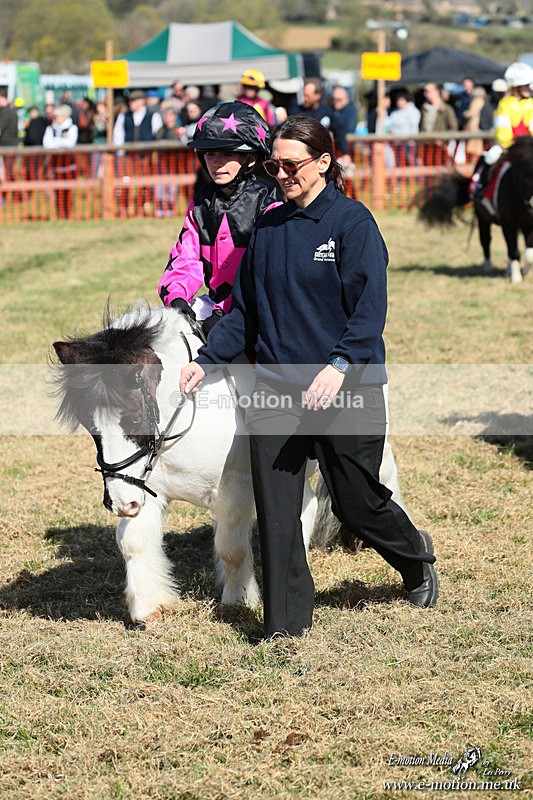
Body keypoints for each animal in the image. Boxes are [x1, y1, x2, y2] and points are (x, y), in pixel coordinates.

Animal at [51, 303, 406, 626]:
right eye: (90, 425)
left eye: (134, 417)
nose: (119, 503)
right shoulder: (145, 484)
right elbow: (133, 541)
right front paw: (149, 607)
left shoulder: (234, 486)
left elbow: (230, 548)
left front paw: (239, 600)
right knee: (306, 503)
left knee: (382, 472)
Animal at [417, 136, 533, 284]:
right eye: (527, 179)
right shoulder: (508, 224)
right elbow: (513, 250)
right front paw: (516, 278)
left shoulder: (528, 226)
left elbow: (530, 254)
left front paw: (523, 271)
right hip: (482, 218)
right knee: (486, 239)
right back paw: (488, 266)